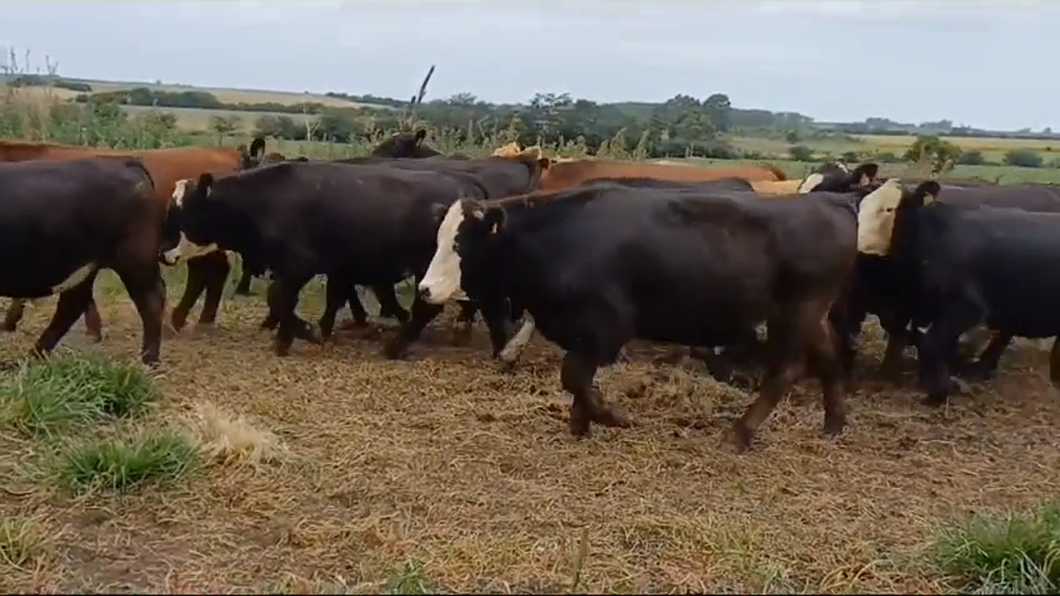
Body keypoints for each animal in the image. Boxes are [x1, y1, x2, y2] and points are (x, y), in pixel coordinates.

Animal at [0, 155, 166, 362]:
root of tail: (124, 164)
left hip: (135, 259)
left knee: (151, 300)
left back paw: (149, 359)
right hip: (86, 267)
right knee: (72, 305)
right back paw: (34, 356)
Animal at [411, 183, 894, 447]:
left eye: (462, 242)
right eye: (436, 238)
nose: (425, 288)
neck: (562, 236)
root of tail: (833, 203)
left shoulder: (606, 326)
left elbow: (574, 375)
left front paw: (608, 417)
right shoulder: (581, 331)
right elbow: (577, 378)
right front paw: (581, 423)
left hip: (797, 312)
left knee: (787, 371)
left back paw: (740, 432)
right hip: (806, 315)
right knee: (828, 357)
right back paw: (833, 423)